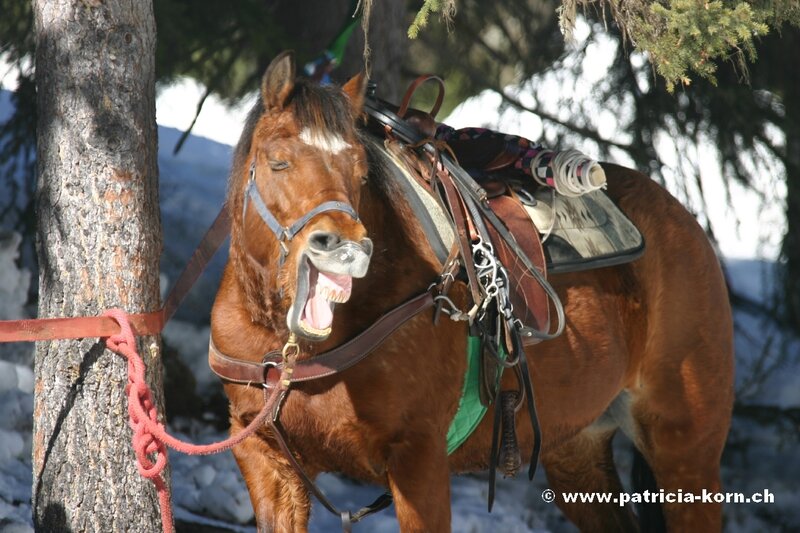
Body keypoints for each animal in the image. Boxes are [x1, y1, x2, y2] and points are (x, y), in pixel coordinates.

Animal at [209, 51, 734, 532]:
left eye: (360, 172)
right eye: (278, 161)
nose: (347, 248)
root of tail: (682, 218)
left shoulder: (419, 460)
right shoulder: (265, 460)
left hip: (687, 450)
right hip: (577, 447)